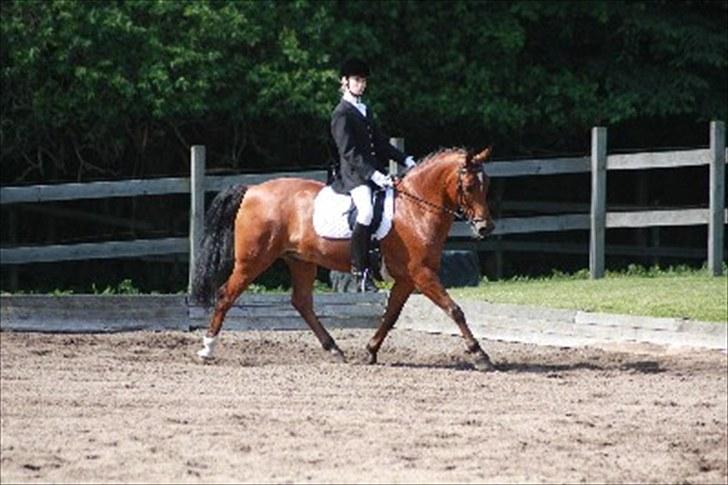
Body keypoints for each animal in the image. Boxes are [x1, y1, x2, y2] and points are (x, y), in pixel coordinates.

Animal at [192, 146, 500, 368]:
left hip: (300, 260)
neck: (415, 209)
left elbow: (391, 315)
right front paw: (479, 354)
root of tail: (253, 190)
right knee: (225, 295)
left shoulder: (407, 279)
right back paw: (207, 349)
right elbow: (454, 309)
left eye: (486, 185)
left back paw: (334, 350)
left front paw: (370, 351)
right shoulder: (422, 274)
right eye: (469, 186)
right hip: (253, 260)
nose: (485, 228)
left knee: (301, 302)